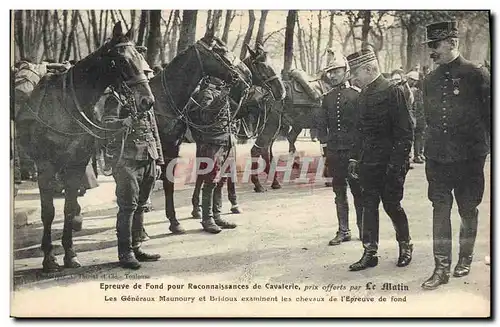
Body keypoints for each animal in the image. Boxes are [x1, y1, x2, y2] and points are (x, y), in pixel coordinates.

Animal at [15, 22, 154, 274]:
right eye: (122, 60)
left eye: (140, 57)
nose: (147, 101)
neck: (67, 103)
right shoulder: (46, 166)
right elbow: (48, 212)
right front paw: (49, 258)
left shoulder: (77, 163)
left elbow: (69, 208)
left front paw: (70, 254)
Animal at [146, 27, 252, 233]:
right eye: (220, 50)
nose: (246, 74)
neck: (162, 100)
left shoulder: (173, 148)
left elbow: (170, 183)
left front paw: (175, 222)